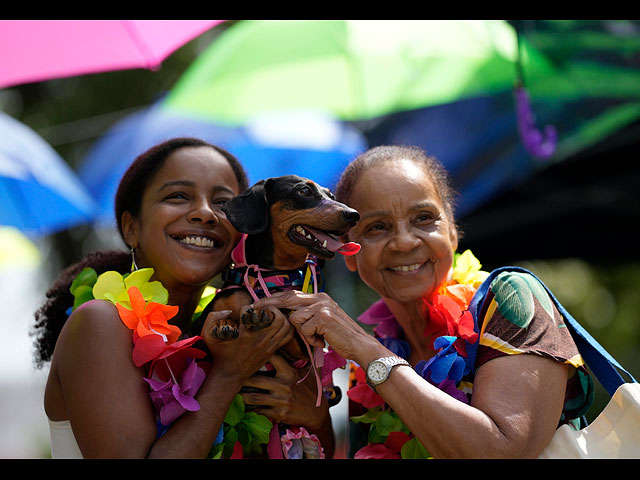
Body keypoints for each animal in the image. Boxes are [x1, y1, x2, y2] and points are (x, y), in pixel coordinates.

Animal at [200, 176, 360, 364]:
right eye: (304, 190)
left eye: (332, 196)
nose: (354, 215)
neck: (266, 278)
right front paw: (223, 323)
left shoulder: (301, 348)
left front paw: (258, 315)